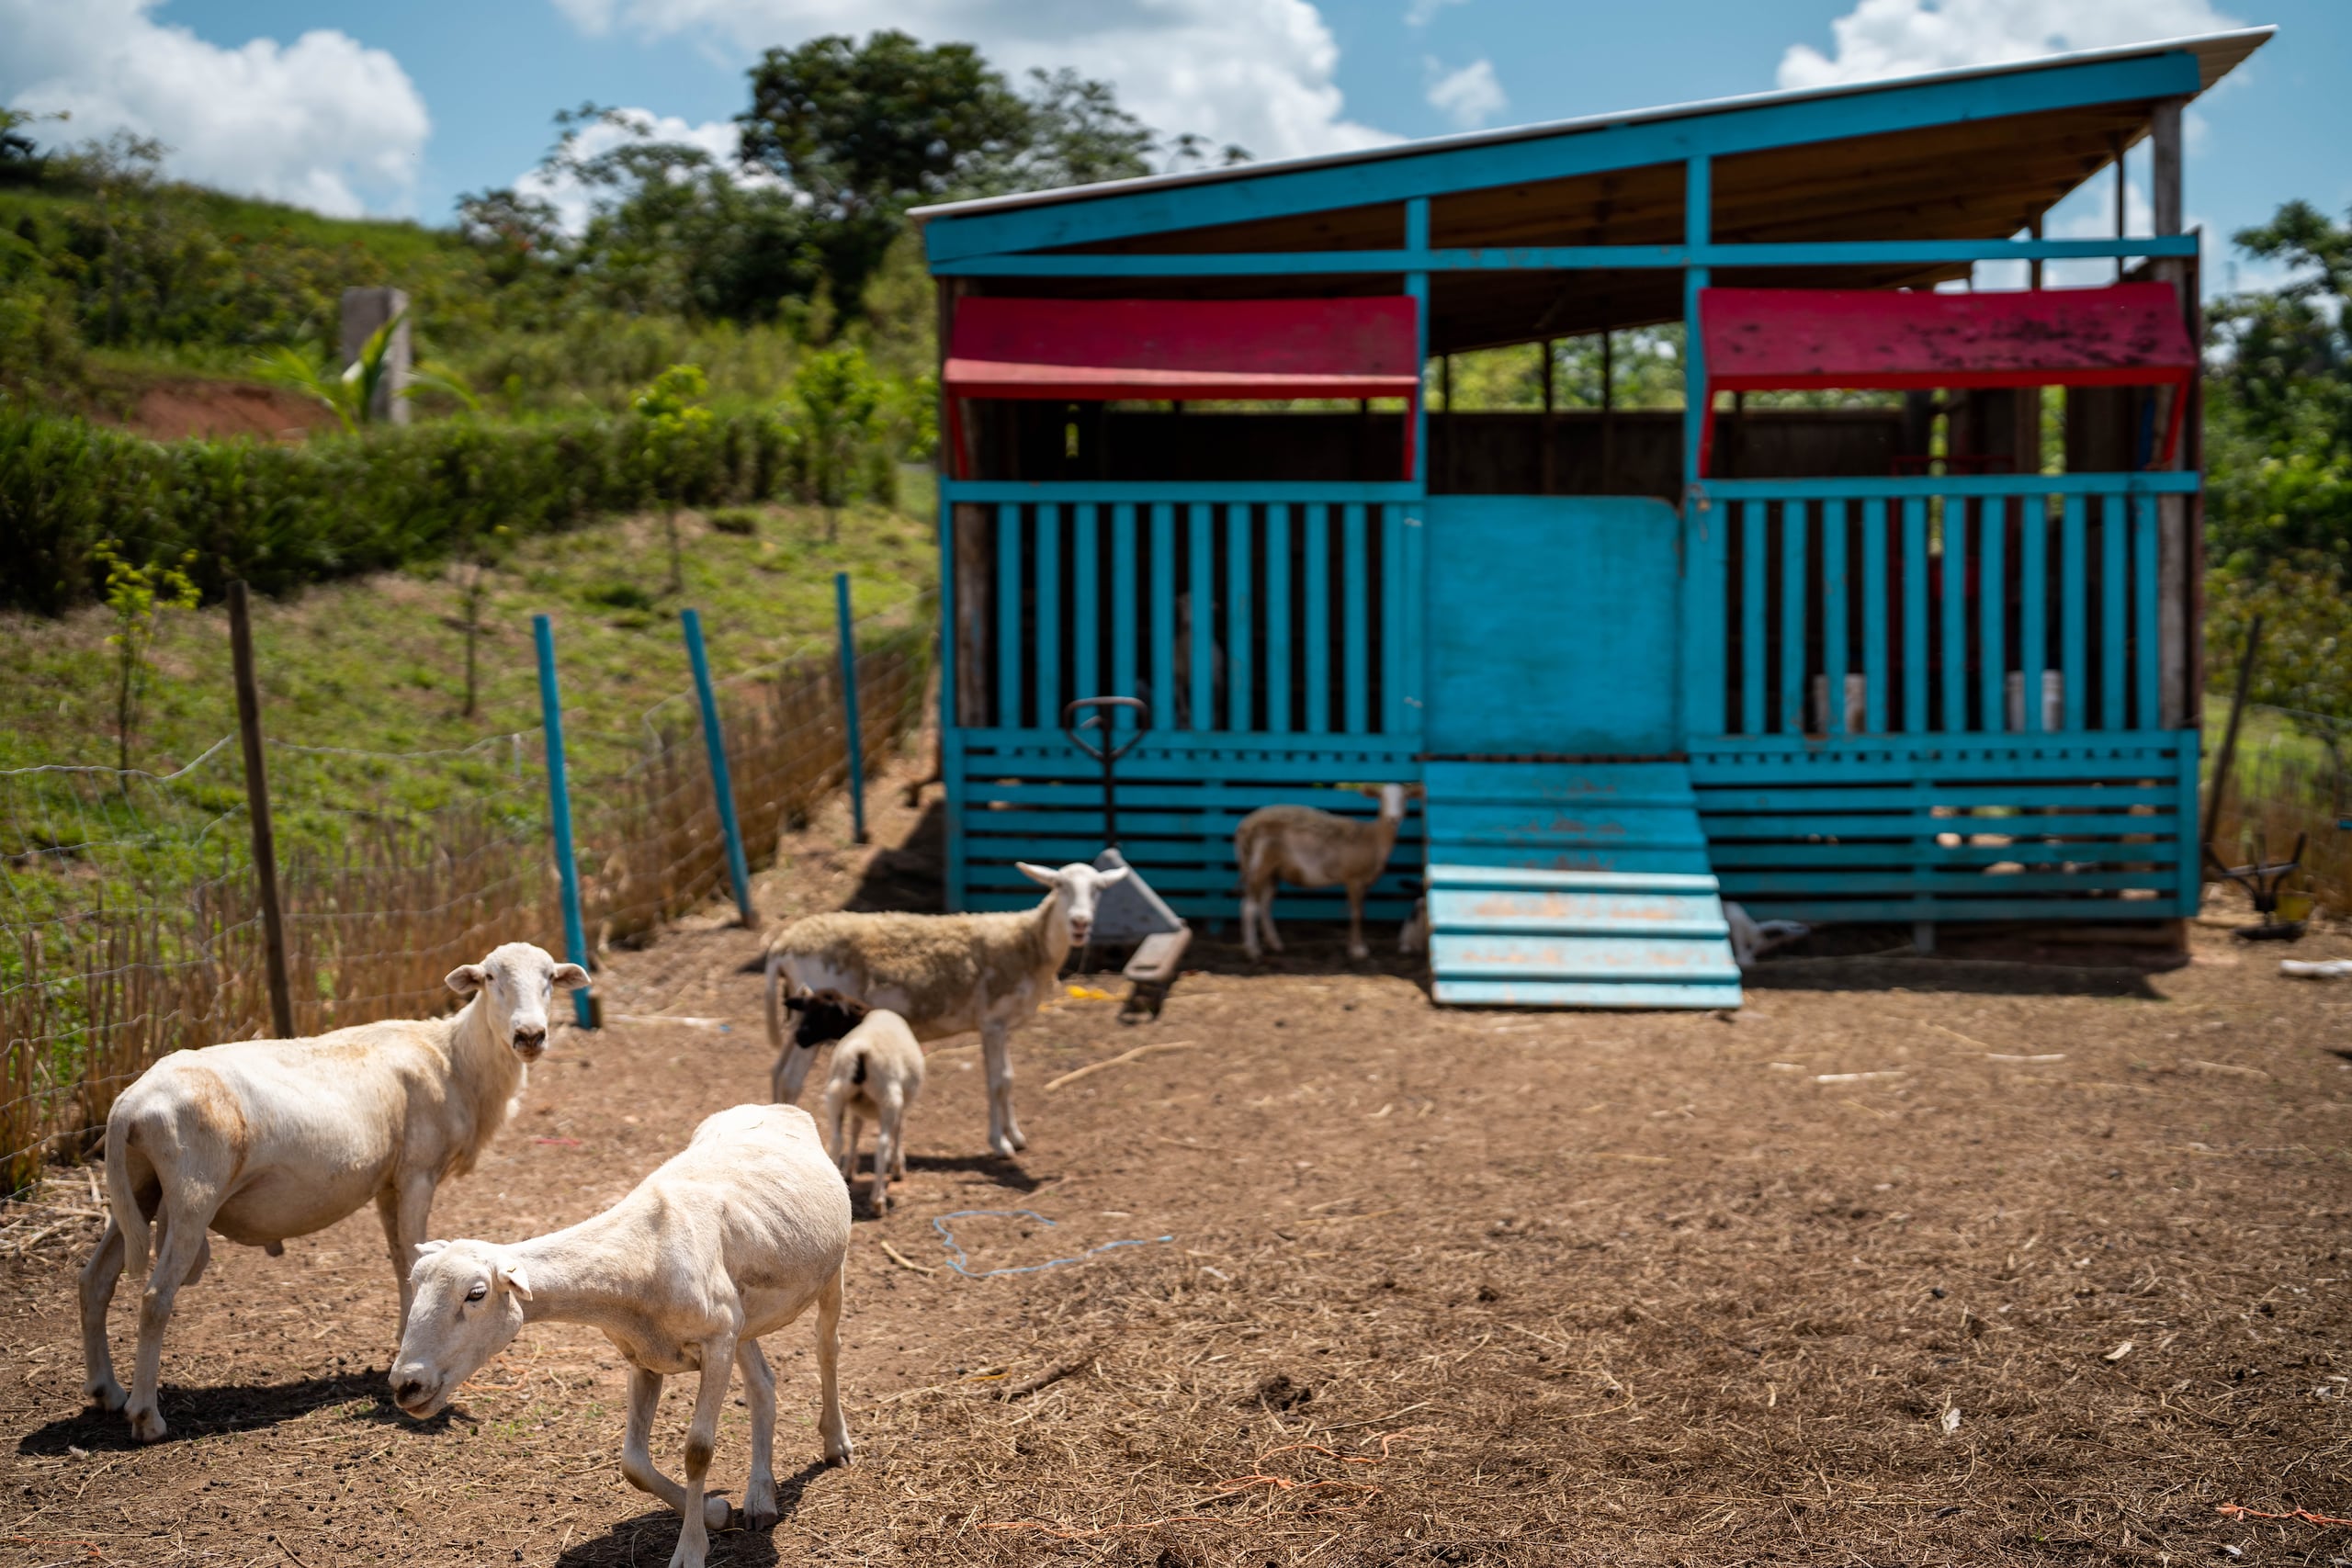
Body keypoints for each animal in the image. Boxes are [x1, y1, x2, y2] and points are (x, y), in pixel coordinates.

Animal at [81, 941, 586, 1442]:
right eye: (490, 978)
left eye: (549, 979)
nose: (529, 1036)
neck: (454, 1060)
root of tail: (128, 1105)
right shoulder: (418, 1172)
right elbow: (411, 1250)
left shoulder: (387, 1181)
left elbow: (401, 1259)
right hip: (192, 1196)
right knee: (155, 1298)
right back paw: (146, 1416)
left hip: (138, 1189)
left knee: (95, 1280)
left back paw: (107, 1392)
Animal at [390, 1102, 849, 1568]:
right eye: (413, 1282)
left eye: (476, 1294)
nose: (405, 1385)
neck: (643, 1253)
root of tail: (771, 1106)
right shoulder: (644, 1355)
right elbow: (633, 1464)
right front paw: (717, 1513)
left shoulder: (716, 1342)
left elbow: (697, 1451)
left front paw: (690, 1548)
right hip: (744, 1317)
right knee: (762, 1387)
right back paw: (759, 1498)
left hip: (830, 1273)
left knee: (827, 1347)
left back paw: (835, 1443)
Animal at [764, 861, 1127, 1159]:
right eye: (1059, 886)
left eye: (1098, 889)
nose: (1080, 923)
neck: (1029, 943)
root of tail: (782, 945)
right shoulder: (993, 1022)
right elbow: (997, 1080)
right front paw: (1001, 1144)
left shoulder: (1001, 1025)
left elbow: (1008, 1078)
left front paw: (1015, 1136)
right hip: (813, 1022)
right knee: (792, 1079)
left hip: (798, 1018)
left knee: (778, 1072)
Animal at [793, 992, 924, 1215]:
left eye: (823, 1013)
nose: (799, 1037)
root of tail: (860, 1050)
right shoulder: (901, 1104)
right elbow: (899, 1130)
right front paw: (898, 1169)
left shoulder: (856, 1104)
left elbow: (855, 1130)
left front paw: (849, 1171)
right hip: (889, 1098)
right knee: (882, 1145)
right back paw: (878, 1201)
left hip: (835, 1094)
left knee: (837, 1140)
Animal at [1237, 782, 1415, 962]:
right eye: (1381, 797)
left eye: (1405, 797)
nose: (1393, 818)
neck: (1374, 838)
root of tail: (1246, 827)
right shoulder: (1354, 878)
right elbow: (1356, 913)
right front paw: (1357, 950)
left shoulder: (1364, 881)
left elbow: (1361, 912)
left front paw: (1357, 946)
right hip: (1259, 865)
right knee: (1249, 907)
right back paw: (1253, 951)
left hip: (1272, 872)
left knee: (1264, 904)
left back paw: (1275, 944)